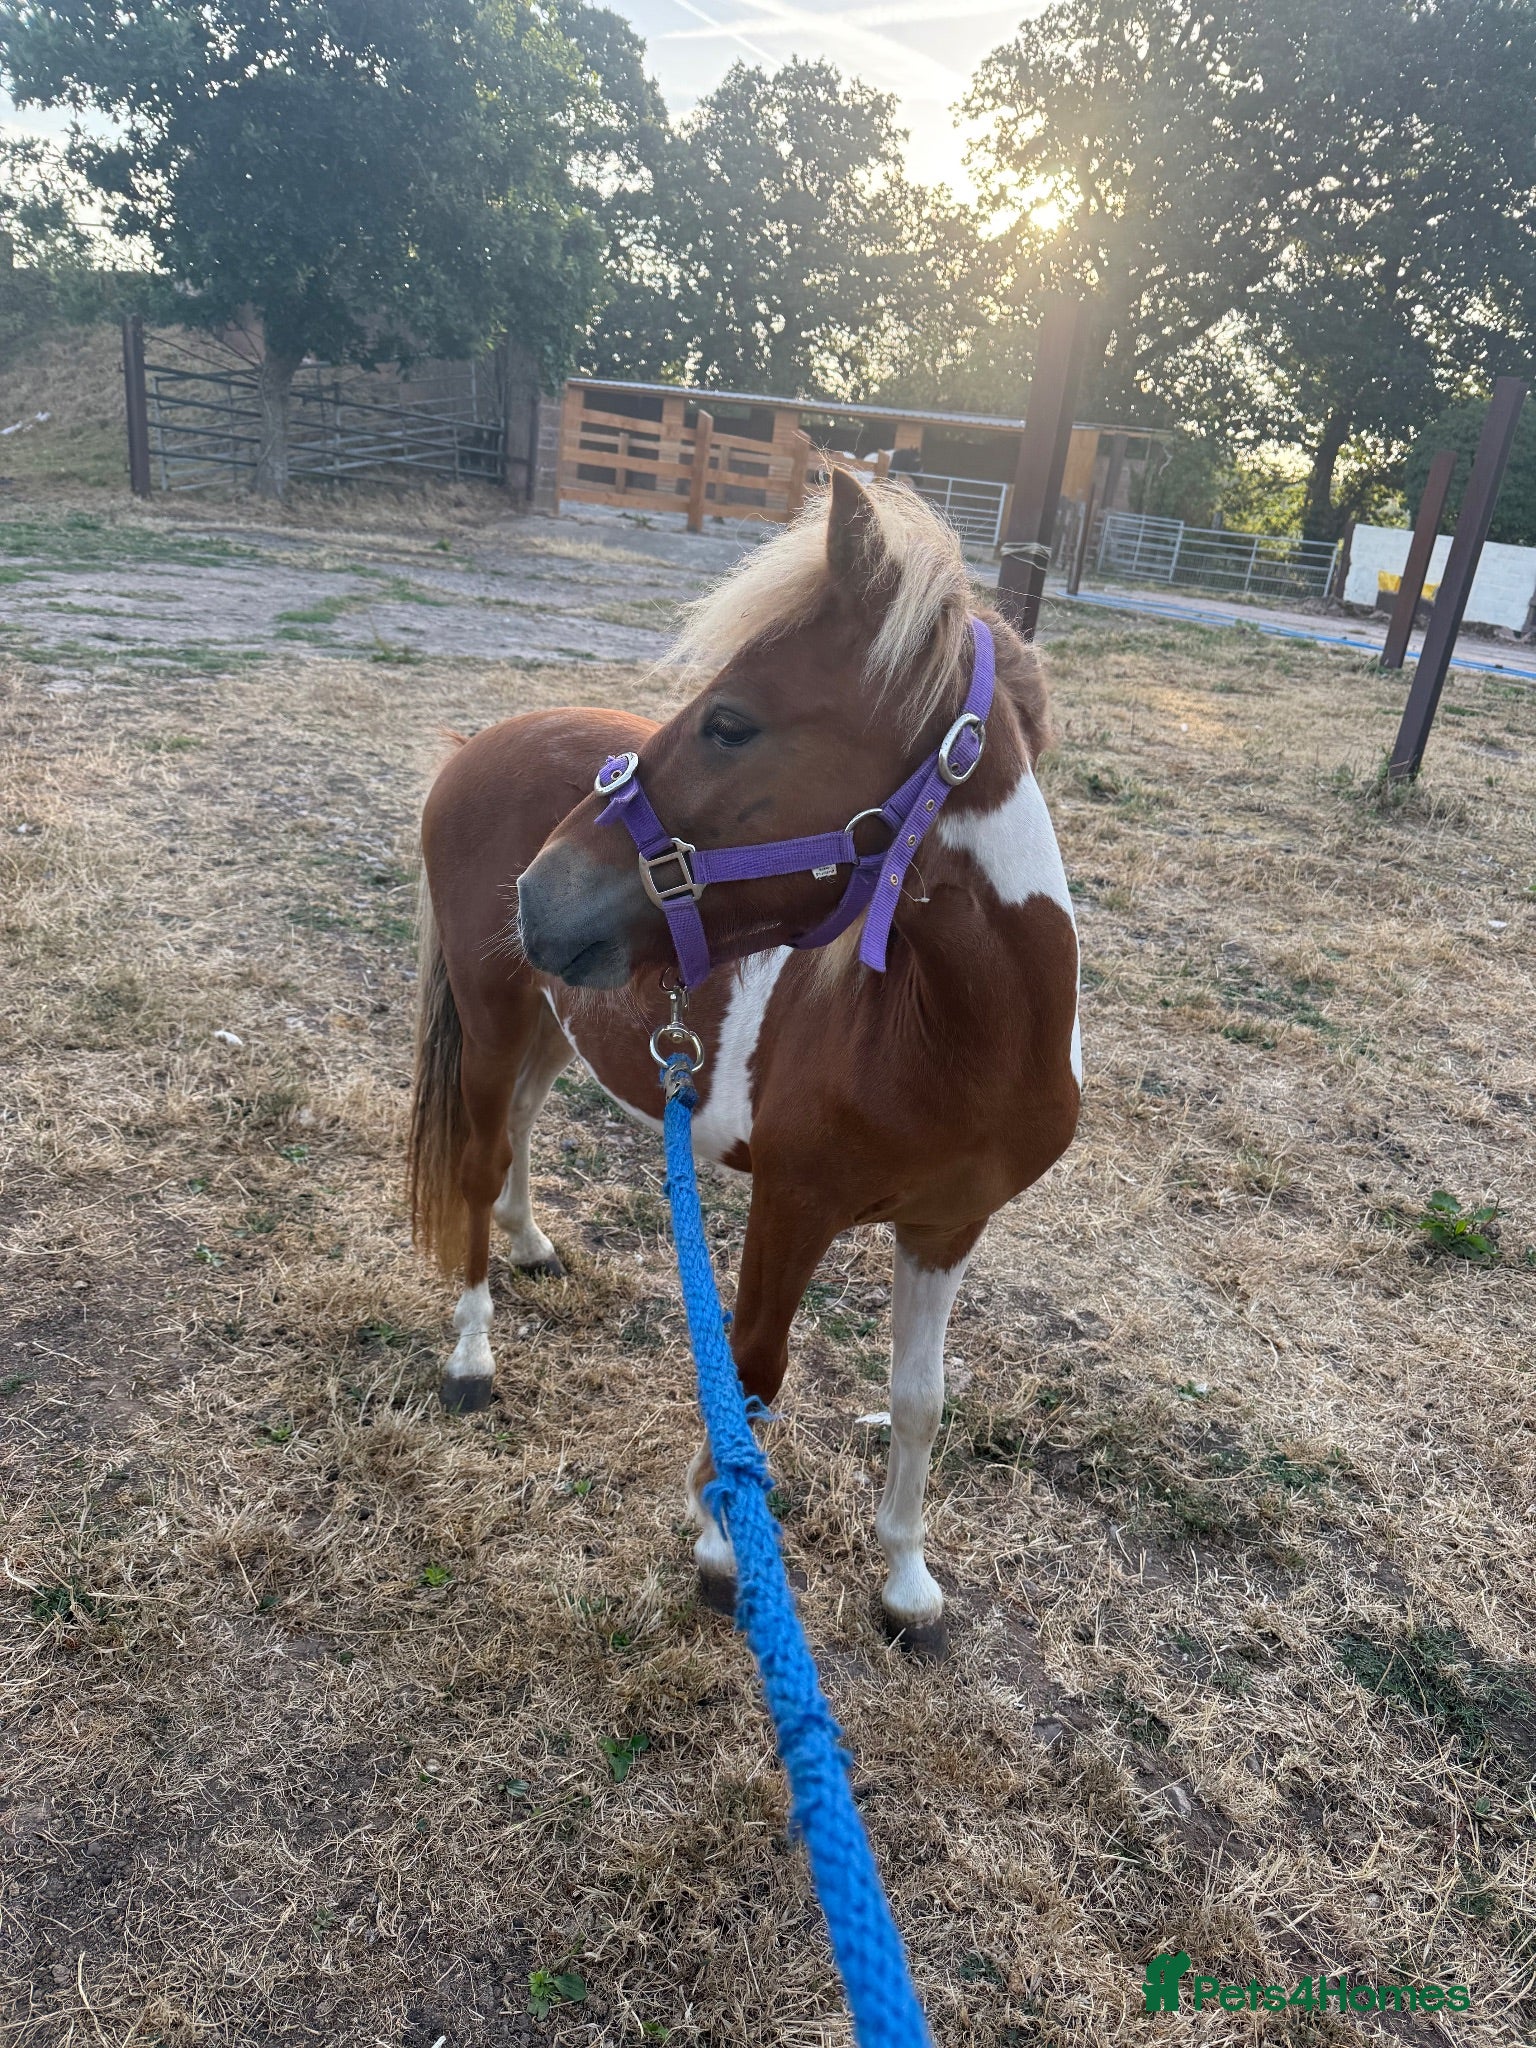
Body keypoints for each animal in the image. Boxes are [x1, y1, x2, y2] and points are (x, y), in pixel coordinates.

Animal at [408, 470, 1081, 1655]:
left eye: (730, 722)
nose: (540, 893)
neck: (955, 1040)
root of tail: (481, 742)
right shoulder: (792, 1204)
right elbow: (755, 1372)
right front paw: (727, 1550)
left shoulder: (948, 1225)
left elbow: (920, 1401)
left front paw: (907, 1582)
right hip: (493, 1019)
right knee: (479, 1164)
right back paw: (473, 1358)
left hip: (554, 1020)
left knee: (524, 1125)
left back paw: (535, 1244)